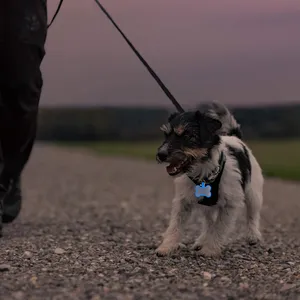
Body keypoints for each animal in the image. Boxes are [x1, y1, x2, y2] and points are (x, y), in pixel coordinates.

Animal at [156, 102, 264, 256]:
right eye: (166, 135)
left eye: (187, 135)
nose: (161, 154)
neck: (203, 170)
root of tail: (235, 137)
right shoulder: (182, 202)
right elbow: (175, 225)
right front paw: (167, 246)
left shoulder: (230, 204)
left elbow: (219, 227)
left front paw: (209, 249)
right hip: (207, 206)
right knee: (208, 223)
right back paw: (201, 240)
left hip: (253, 193)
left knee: (252, 214)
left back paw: (253, 235)